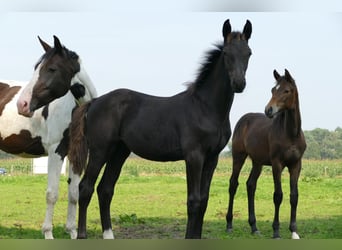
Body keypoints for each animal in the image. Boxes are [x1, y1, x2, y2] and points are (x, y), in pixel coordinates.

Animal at [12, 35, 96, 238]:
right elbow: (52, 194)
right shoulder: (56, 151)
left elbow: (74, 193)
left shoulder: (77, 154)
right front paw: (48, 233)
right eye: (36, 67)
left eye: (52, 69)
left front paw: (72, 232)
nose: (22, 104)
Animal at [65, 19, 251, 238]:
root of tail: (94, 102)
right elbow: (194, 201)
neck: (206, 108)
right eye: (226, 54)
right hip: (100, 150)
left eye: (248, 53)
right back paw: (82, 234)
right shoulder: (194, 156)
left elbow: (204, 201)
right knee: (86, 188)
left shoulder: (212, 158)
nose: (239, 84)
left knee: (105, 189)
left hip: (119, 151)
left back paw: (109, 235)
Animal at [226, 68, 306, 238]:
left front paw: (294, 231)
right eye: (273, 90)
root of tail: (244, 119)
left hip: (258, 162)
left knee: (250, 185)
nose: (268, 110)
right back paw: (229, 224)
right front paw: (276, 231)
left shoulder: (296, 165)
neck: (291, 134)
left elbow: (294, 196)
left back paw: (254, 227)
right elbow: (278, 195)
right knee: (233, 184)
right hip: (238, 157)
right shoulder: (277, 164)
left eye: (286, 90)